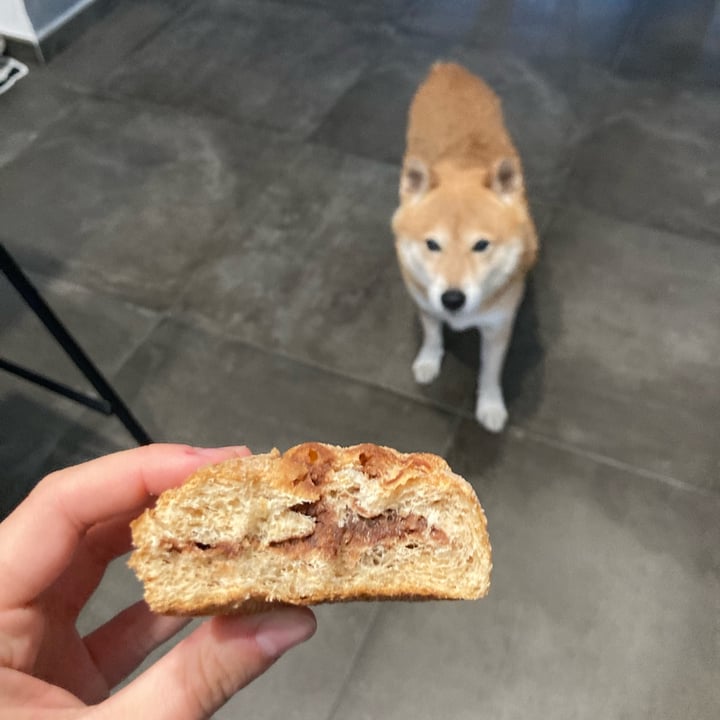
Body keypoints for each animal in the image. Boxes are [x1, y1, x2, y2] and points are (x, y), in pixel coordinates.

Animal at [390, 62, 536, 430]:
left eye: (481, 245)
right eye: (432, 244)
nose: (452, 299)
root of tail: (448, 68)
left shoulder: (499, 325)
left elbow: (490, 373)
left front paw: (490, 406)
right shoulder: (425, 300)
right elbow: (432, 334)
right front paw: (429, 361)